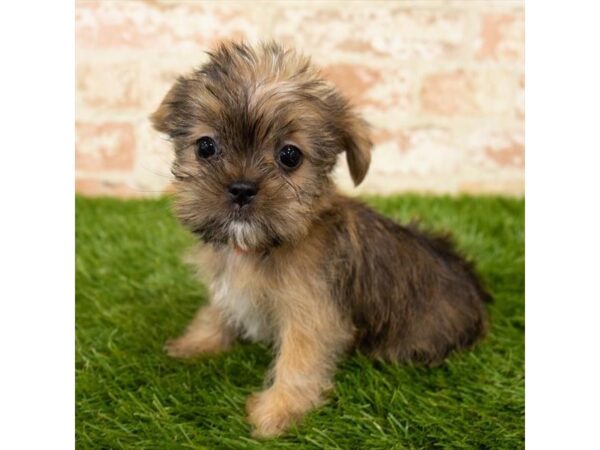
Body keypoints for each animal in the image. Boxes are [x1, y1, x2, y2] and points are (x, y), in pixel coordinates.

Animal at [150, 41, 488, 436]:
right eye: (205, 147)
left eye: (290, 155)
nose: (242, 188)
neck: (259, 248)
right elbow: (217, 310)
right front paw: (196, 341)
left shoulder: (311, 315)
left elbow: (298, 360)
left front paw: (278, 410)